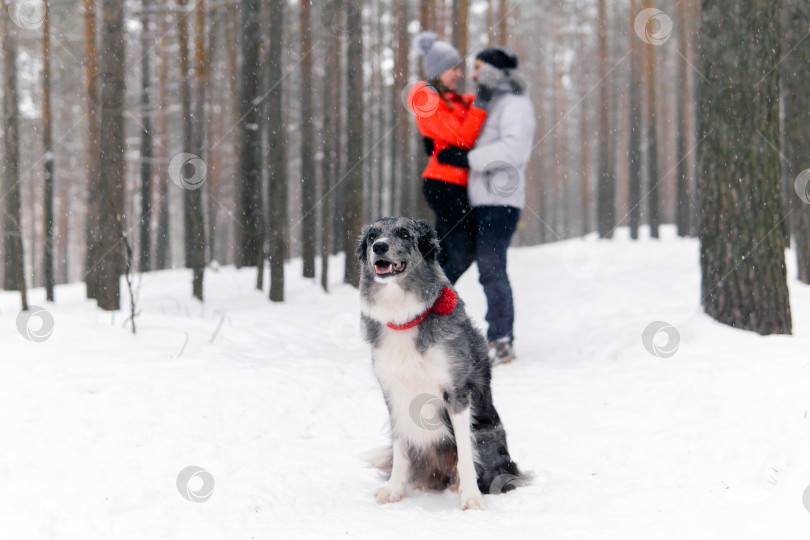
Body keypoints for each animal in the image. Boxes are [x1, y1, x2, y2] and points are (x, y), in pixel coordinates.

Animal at [356, 216, 520, 510]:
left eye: (405, 234)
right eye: (372, 236)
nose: (379, 247)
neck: (404, 316)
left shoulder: (456, 393)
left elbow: (465, 453)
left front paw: (471, 497)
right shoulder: (393, 394)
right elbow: (400, 447)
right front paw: (394, 490)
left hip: (488, 436)